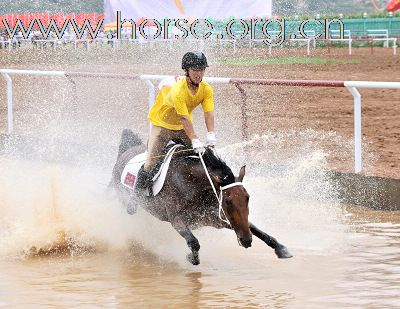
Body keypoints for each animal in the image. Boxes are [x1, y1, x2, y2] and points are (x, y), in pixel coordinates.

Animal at [111, 129, 292, 264]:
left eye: (247, 198)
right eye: (228, 201)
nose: (246, 240)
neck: (192, 184)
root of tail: (124, 152)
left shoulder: (216, 218)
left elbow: (256, 229)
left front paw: (281, 248)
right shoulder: (176, 219)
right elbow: (194, 242)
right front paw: (192, 258)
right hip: (124, 199)